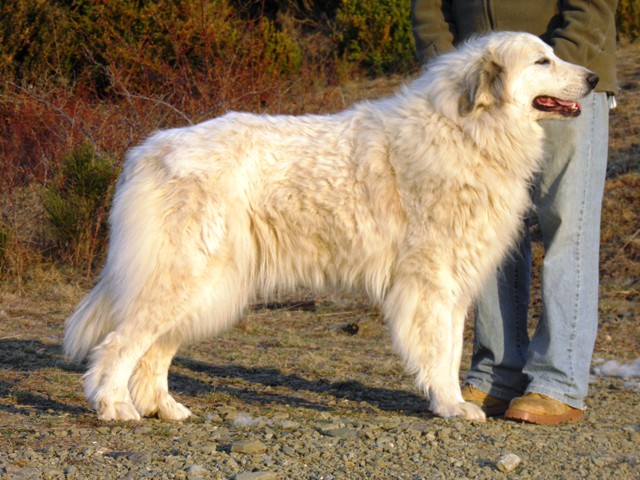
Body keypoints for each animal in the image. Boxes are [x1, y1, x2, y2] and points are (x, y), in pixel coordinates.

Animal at [63, 32, 596, 420]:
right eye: (542, 62)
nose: (593, 78)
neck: (467, 130)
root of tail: (147, 150)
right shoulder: (432, 285)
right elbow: (441, 352)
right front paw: (450, 405)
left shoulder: (453, 285)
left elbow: (450, 350)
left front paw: (451, 402)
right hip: (183, 277)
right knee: (118, 346)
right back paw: (115, 406)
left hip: (206, 288)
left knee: (154, 352)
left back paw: (165, 408)